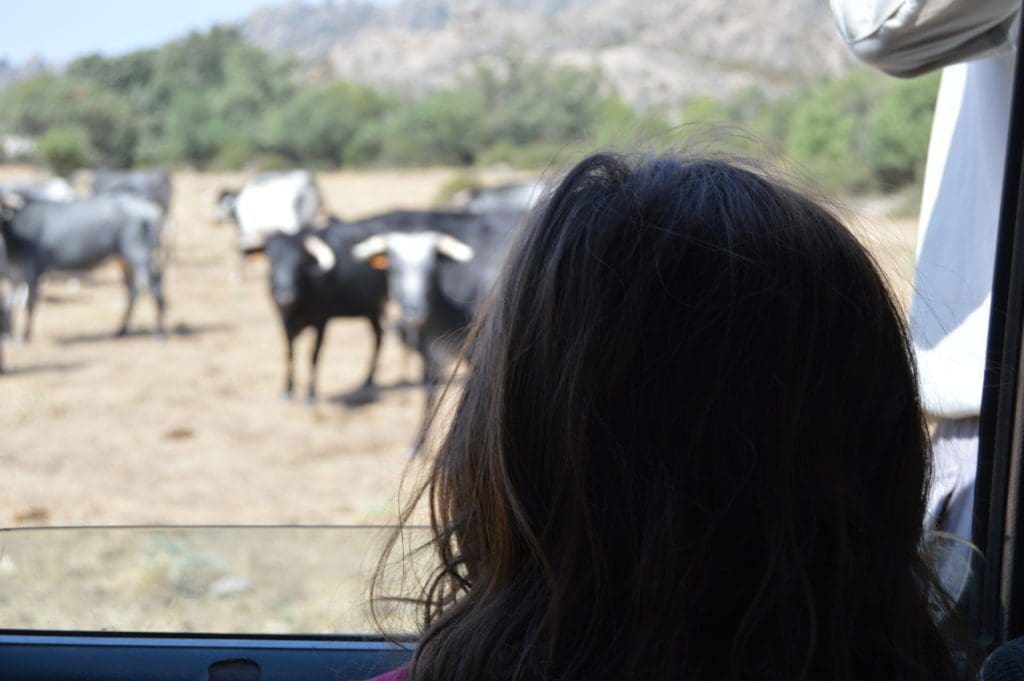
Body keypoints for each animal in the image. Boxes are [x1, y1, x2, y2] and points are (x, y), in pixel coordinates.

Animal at [1, 191, 165, 339]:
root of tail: (152, 211)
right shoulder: (15, 276)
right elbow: (9, 304)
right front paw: (9, 333)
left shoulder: (34, 271)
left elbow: (30, 303)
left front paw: (25, 336)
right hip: (124, 260)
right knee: (134, 291)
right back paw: (122, 329)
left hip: (140, 257)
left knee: (152, 288)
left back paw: (158, 332)